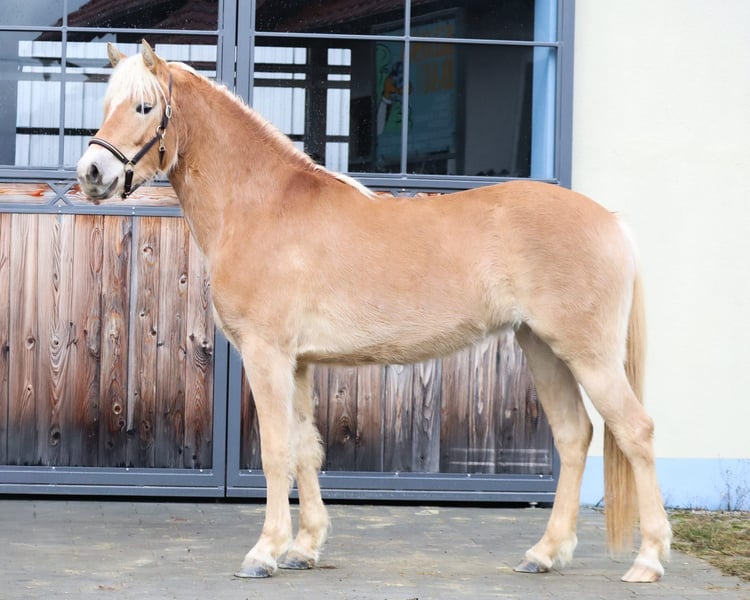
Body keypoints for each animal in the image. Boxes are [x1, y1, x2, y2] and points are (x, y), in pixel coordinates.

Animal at [77, 41, 671, 584]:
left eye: (144, 107)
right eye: (107, 103)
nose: (91, 171)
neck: (262, 205)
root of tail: (611, 220)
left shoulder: (268, 355)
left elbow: (275, 450)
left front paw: (265, 553)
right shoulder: (298, 362)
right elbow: (305, 450)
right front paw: (305, 548)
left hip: (588, 355)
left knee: (636, 432)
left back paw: (647, 559)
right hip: (542, 348)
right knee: (574, 437)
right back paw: (544, 554)